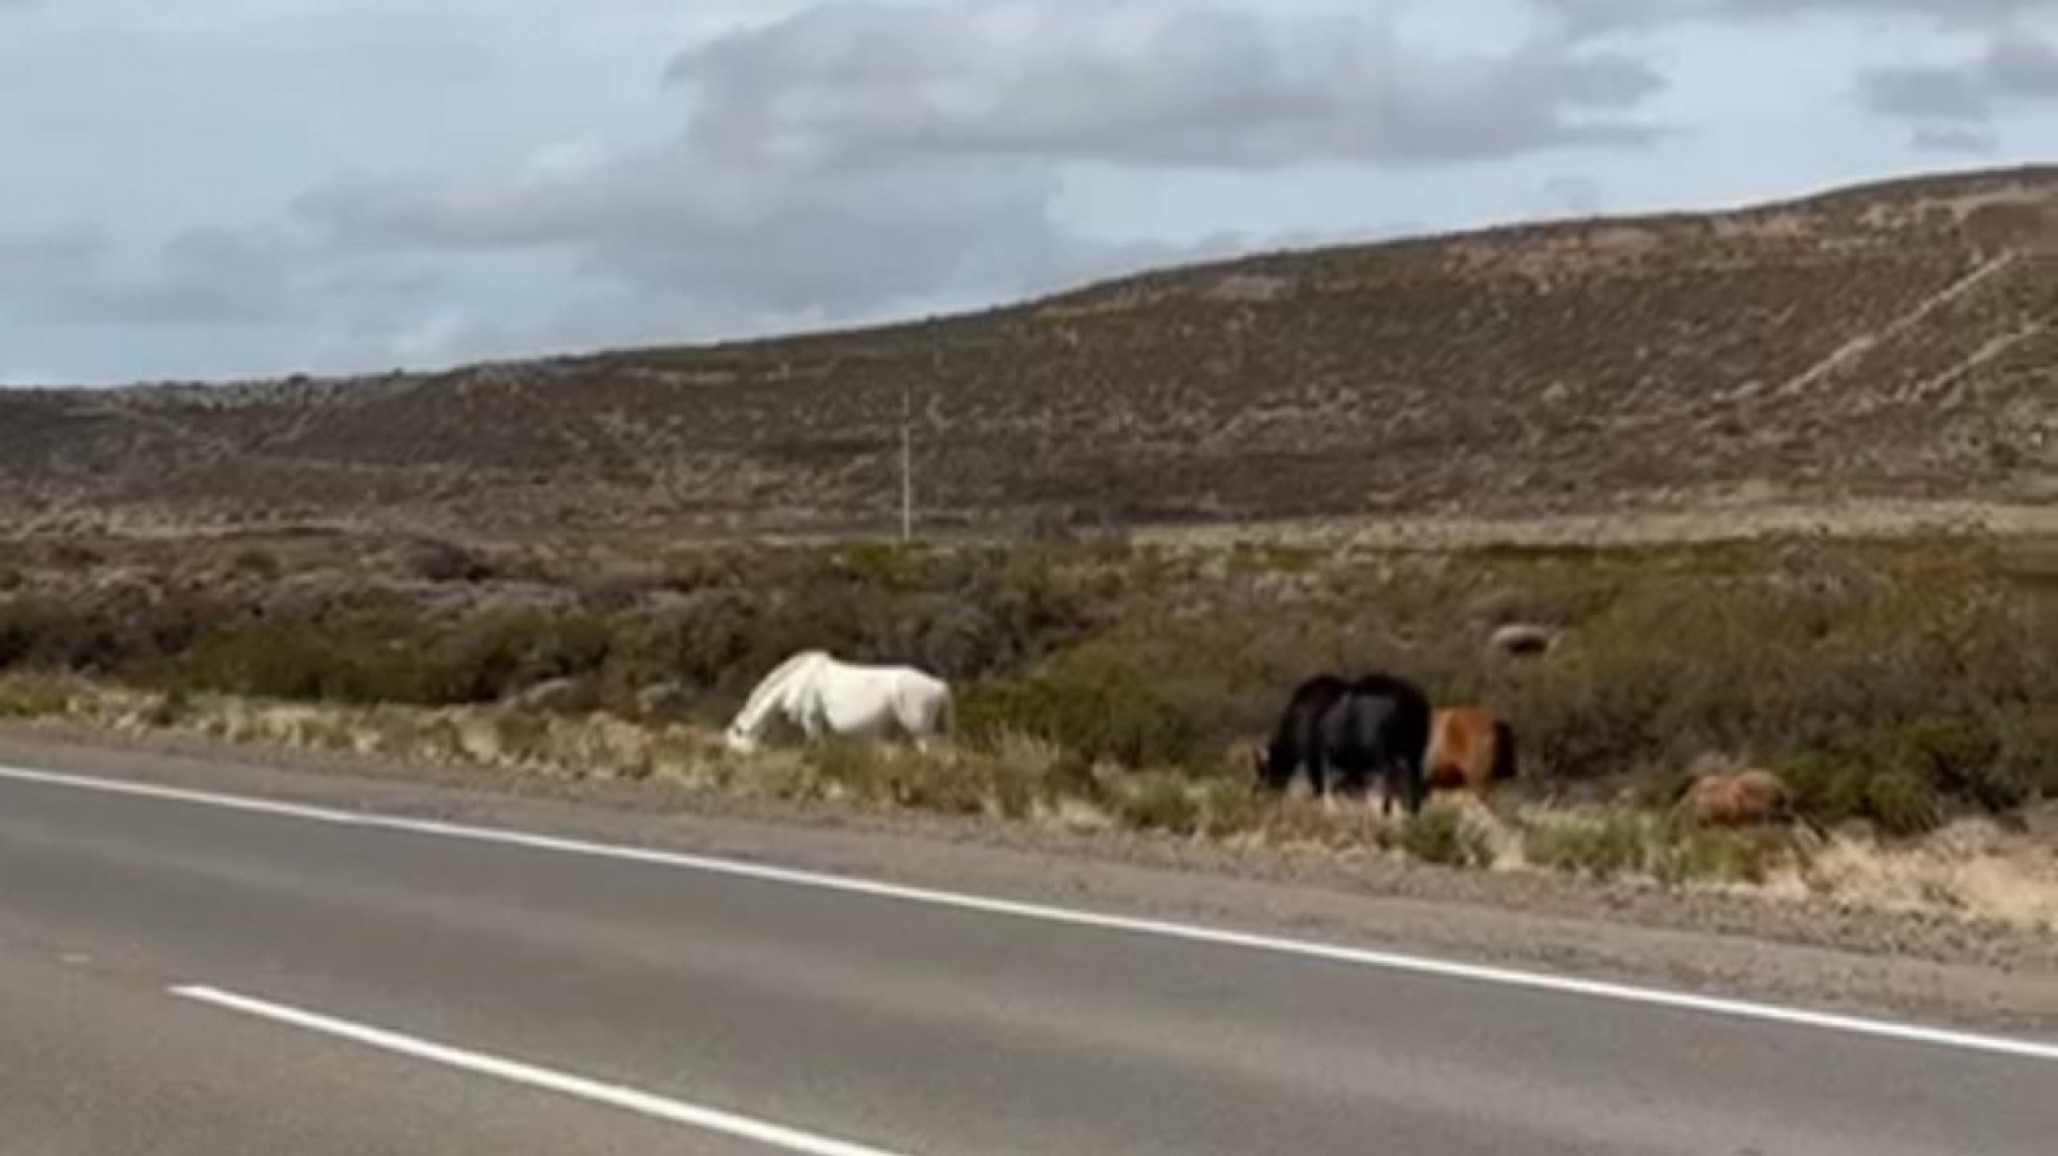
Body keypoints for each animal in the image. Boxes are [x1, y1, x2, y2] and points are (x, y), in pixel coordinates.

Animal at [724, 650, 953, 755]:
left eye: (736, 743)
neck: (797, 680)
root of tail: (939, 685)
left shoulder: (812, 719)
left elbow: (818, 747)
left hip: (919, 729)